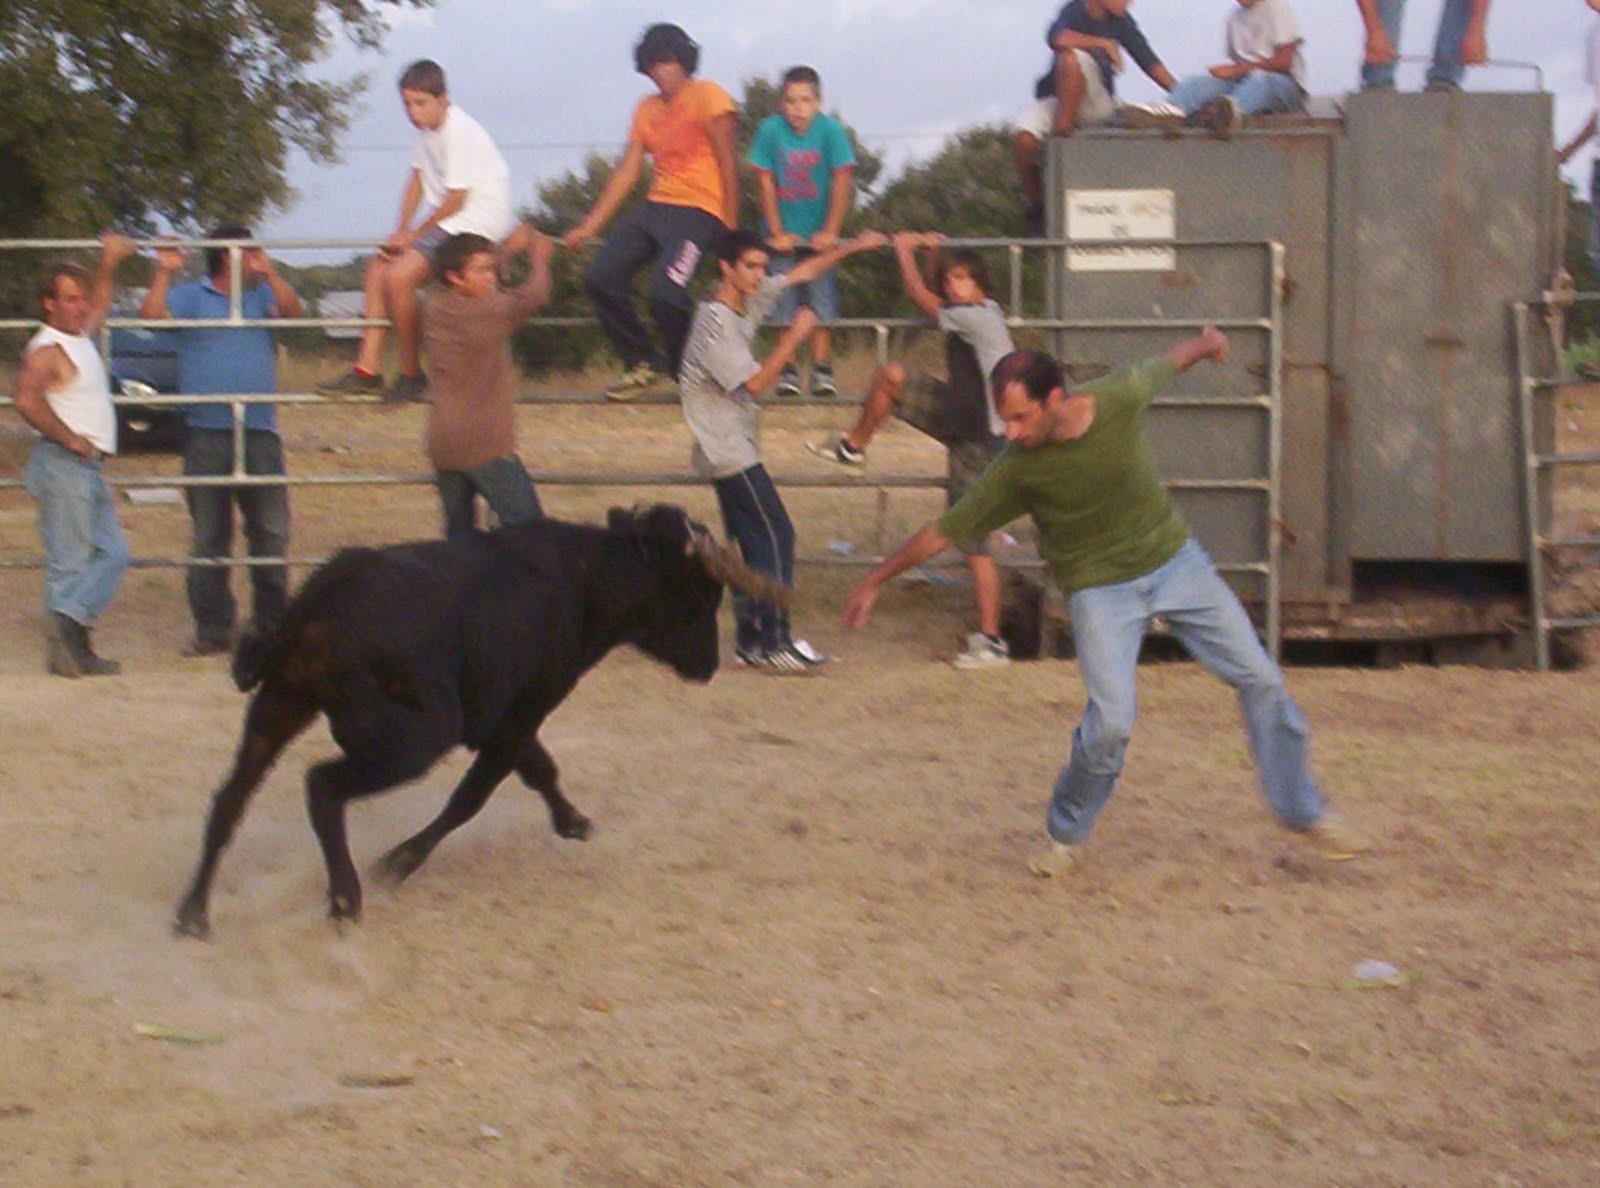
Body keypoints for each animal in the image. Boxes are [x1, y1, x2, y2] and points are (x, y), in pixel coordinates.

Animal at [173, 504, 786, 939]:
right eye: (701, 594)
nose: (708, 665)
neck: (582, 580)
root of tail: (317, 605)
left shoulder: (507, 720)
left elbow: (540, 770)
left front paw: (574, 821)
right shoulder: (520, 712)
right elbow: (473, 796)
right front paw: (397, 862)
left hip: (279, 705)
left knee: (230, 799)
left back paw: (194, 914)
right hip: (410, 741)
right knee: (321, 784)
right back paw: (347, 897)